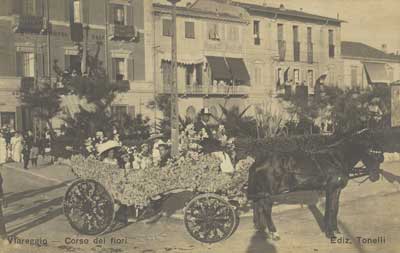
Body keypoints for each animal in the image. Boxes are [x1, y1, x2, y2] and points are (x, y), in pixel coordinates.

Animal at [247, 129, 384, 240]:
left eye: (380, 154)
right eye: (370, 151)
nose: (375, 177)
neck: (336, 159)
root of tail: (258, 161)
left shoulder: (337, 189)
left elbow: (335, 209)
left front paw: (336, 230)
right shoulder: (330, 188)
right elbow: (329, 209)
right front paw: (329, 233)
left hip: (262, 191)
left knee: (257, 204)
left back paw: (259, 227)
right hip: (269, 192)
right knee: (265, 208)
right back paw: (273, 232)